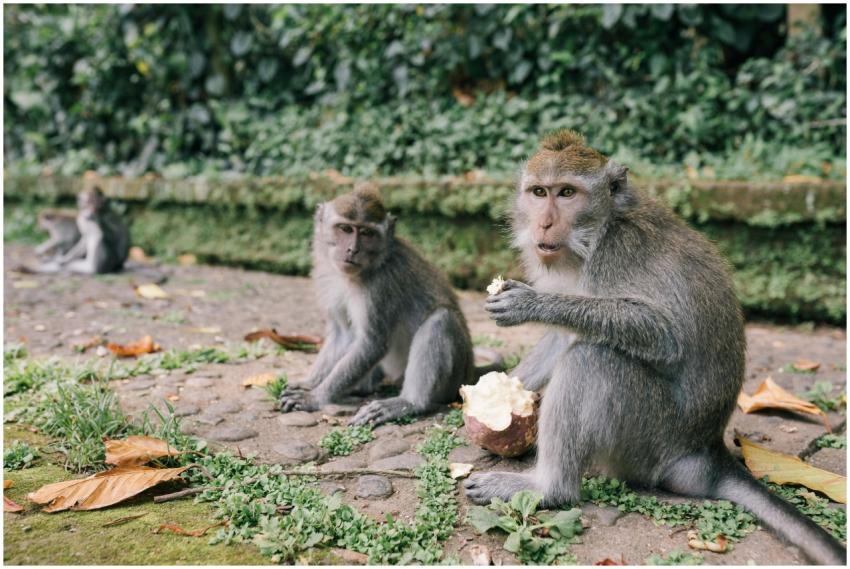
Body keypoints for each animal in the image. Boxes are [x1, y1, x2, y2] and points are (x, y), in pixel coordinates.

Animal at [278, 186, 476, 426]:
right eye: (345, 229)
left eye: (367, 233)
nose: (352, 250)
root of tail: (471, 372)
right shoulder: (328, 278)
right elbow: (342, 334)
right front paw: (310, 383)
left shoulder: (380, 287)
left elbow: (372, 344)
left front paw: (314, 397)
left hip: (454, 378)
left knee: (441, 319)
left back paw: (409, 402)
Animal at [463, 130, 845, 565]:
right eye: (539, 192)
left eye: (567, 193)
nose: (544, 222)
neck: (598, 231)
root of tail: (705, 451)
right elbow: (563, 336)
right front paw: (500, 395)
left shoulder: (616, 253)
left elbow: (663, 335)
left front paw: (531, 304)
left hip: (648, 440)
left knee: (595, 358)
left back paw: (548, 487)